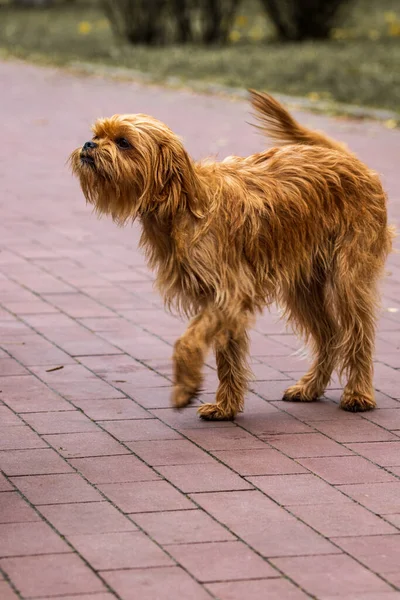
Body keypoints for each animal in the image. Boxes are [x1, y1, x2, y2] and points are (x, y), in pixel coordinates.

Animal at [70, 94, 392, 420]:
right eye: (98, 134)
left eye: (123, 142)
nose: (89, 144)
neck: (181, 205)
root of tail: (348, 160)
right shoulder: (220, 300)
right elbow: (228, 356)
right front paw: (226, 405)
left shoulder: (231, 293)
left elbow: (188, 341)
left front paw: (186, 386)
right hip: (303, 289)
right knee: (330, 337)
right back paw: (311, 387)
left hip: (347, 281)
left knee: (357, 335)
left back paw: (358, 394)